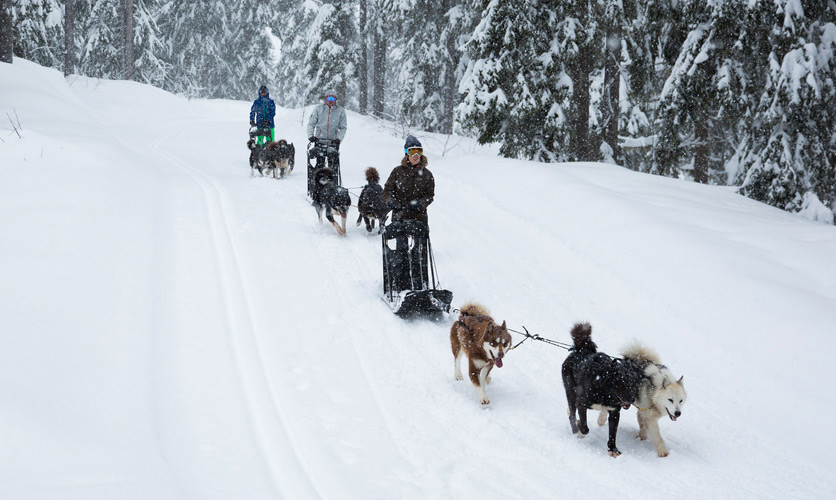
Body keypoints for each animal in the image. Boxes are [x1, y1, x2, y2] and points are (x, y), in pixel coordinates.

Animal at [560, 324, 648, 458]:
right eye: (622, 383)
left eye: (633, 384)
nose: (631, 399)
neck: (604, 390)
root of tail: (581, 350)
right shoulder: (582, 404)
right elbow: (585, 427)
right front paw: (580, 428)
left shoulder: (614, 412)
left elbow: (612, 434)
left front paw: (613, 449)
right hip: (571, 394)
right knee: (572, 415)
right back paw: (576, 430)